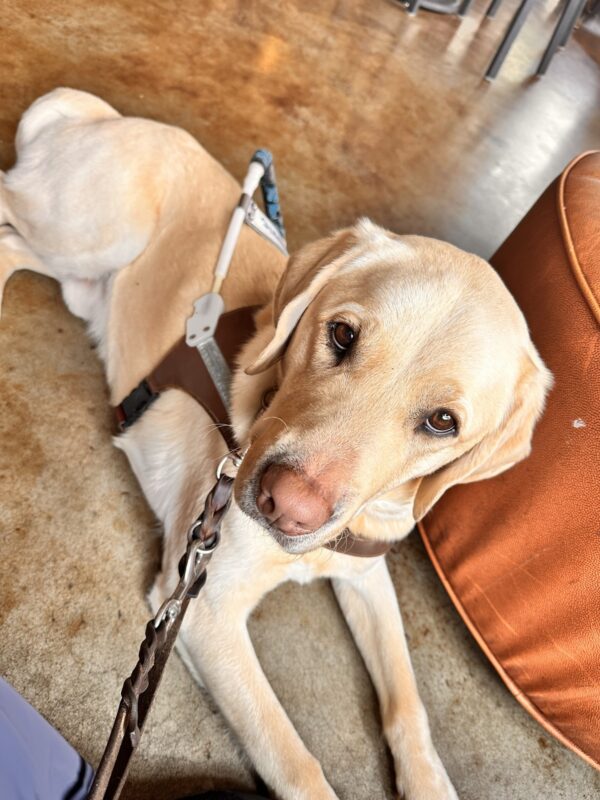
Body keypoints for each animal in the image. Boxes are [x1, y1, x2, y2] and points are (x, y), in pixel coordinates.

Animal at [0, 90, 552, 800]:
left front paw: (429, 783)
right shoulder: (201, 608)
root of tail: (106, 115)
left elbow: (409, 702)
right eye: (342, 335)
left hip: (80, 267)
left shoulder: (366, 575)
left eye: (442, 422)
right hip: (89, 233)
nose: (285, 505)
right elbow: (297, 764)